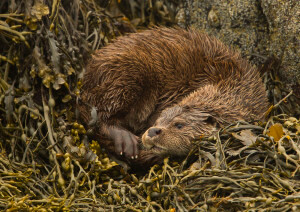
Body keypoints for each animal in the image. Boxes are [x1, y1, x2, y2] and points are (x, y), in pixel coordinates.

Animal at [78, 26, 268, 164]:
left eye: (179, 125)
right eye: (158, 121)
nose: (153, 130)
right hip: (127, 73)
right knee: (101, 115)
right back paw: (125, 140)